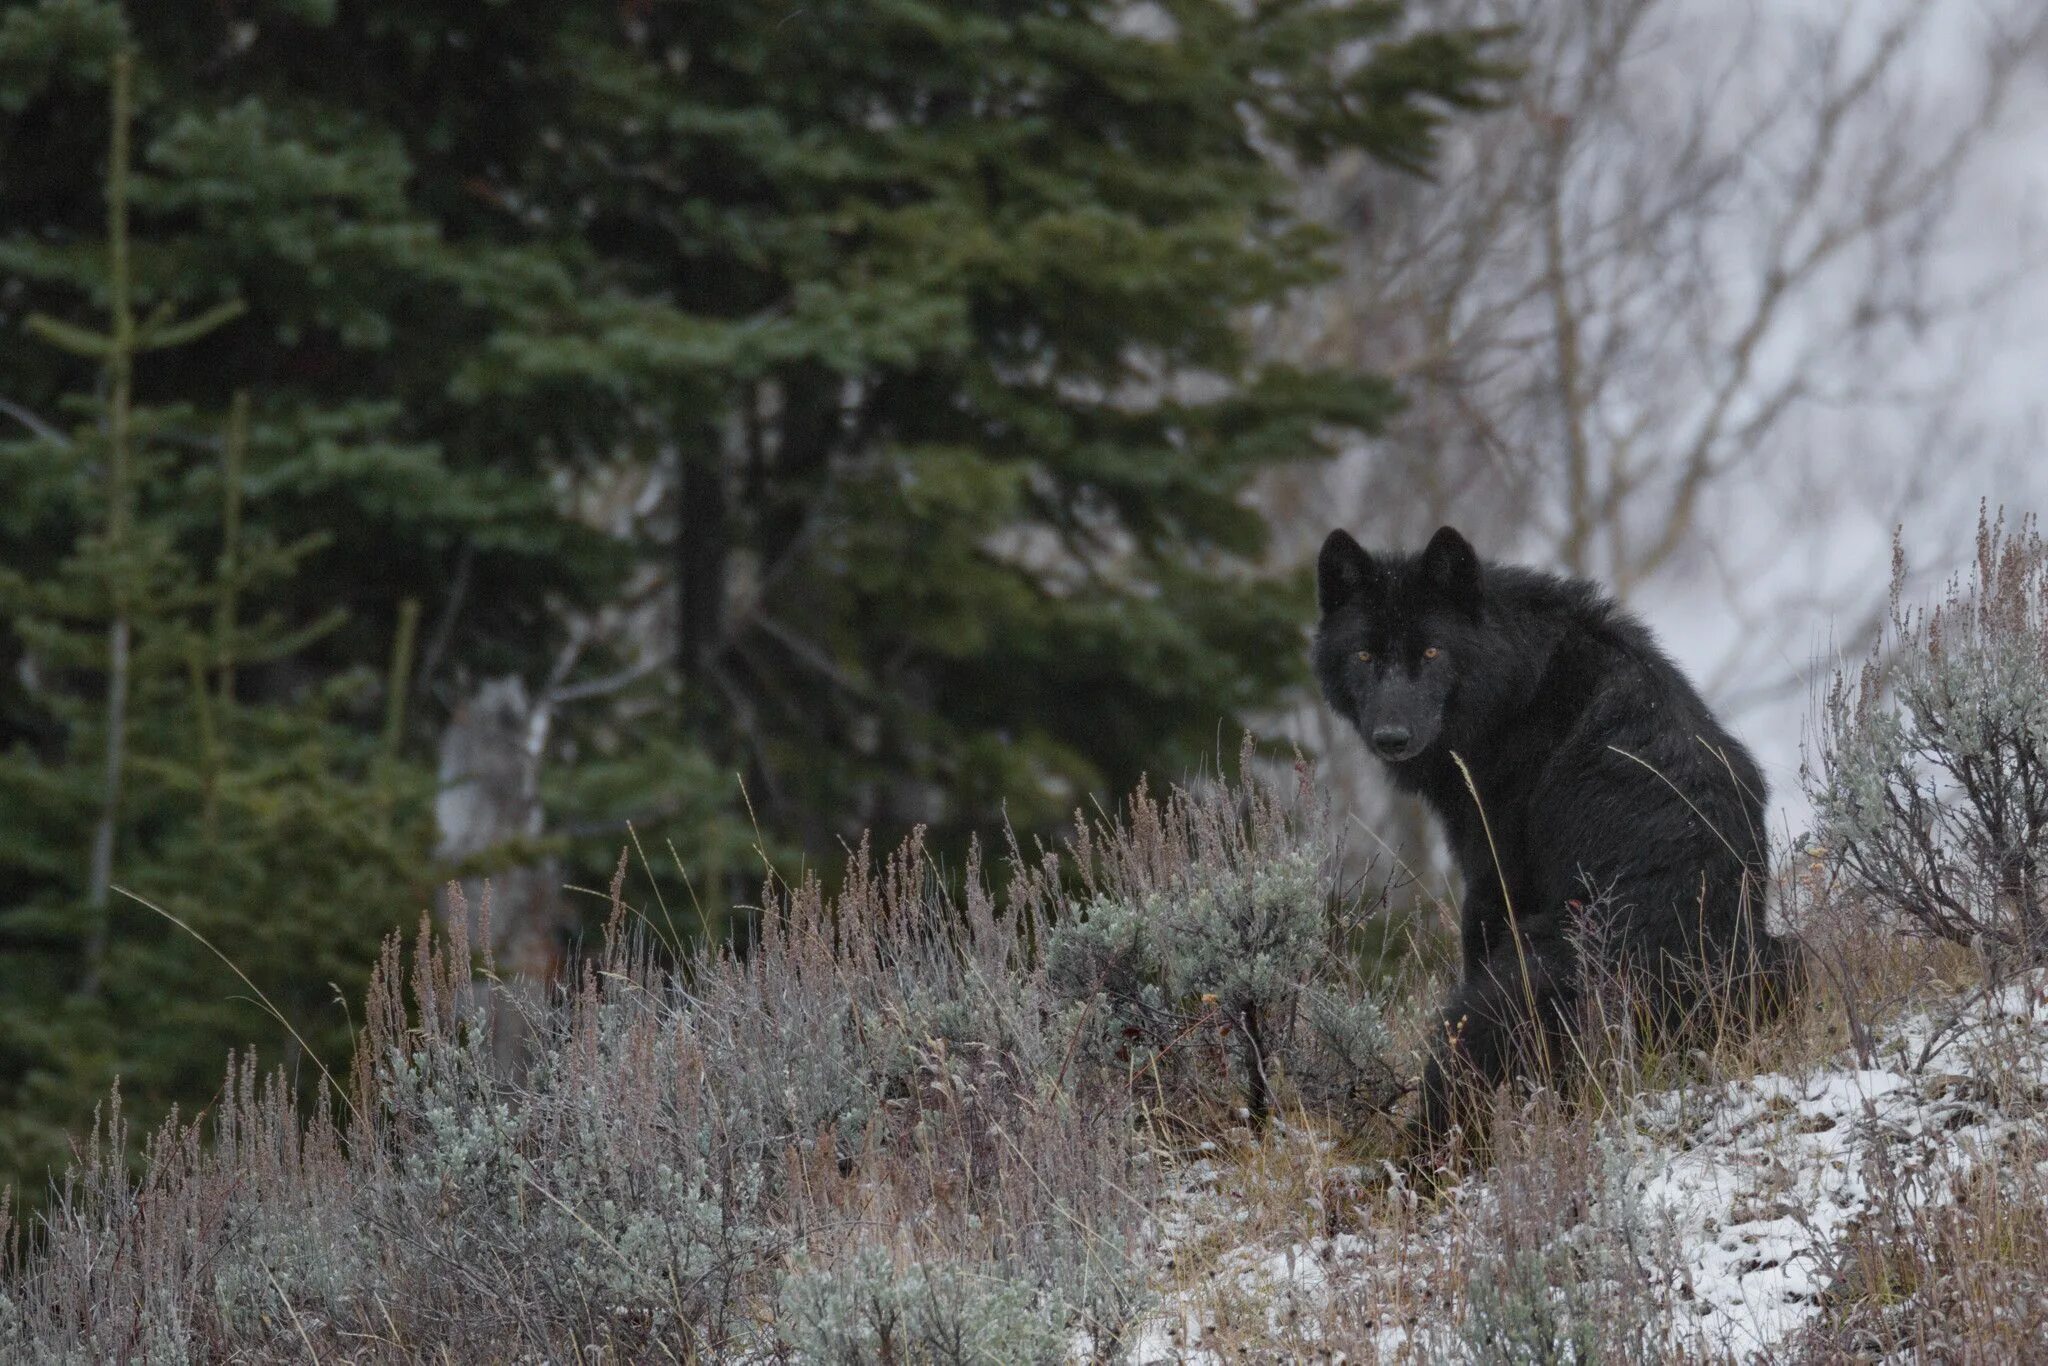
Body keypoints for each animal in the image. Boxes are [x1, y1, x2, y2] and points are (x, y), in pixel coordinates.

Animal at [1310, 524, 1794, 1155]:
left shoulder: (1493, 881)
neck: (1519, 686)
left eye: (1432, 653)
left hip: (1491, 1001)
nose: (1391, 737)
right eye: (1364, 655)